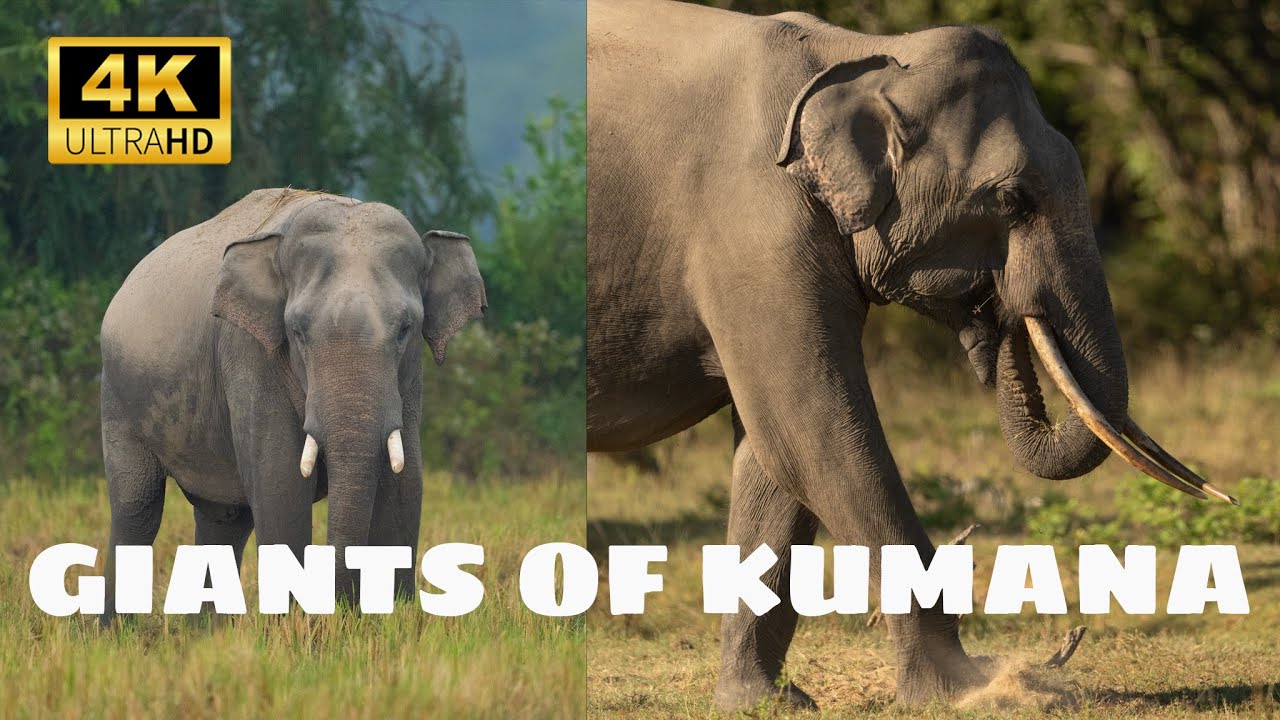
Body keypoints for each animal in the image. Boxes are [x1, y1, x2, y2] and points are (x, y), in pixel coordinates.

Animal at [99, 188, 486, 618]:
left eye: (405, 329)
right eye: (297, 331)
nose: (341, 609)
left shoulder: (410, 378)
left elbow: (405, 485)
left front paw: (391, 619)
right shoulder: (248, 353)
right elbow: (280, 484)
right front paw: (295, 625)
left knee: (224, 521)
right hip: (117, 396)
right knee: (137, 509)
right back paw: (116, 631)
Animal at [586, 0, 1233, 710]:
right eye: (1012, 200)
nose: (999, 316)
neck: (863, 54)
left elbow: (772, 453)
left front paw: (762, 704)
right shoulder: (753, 229)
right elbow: (812, 433)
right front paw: (967, 690)